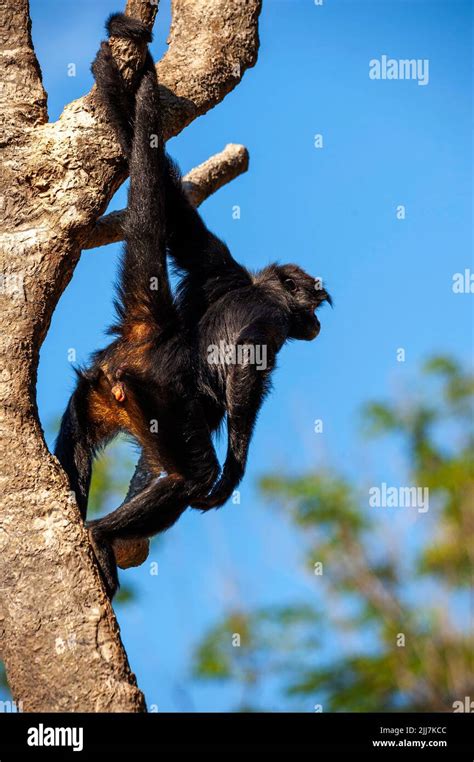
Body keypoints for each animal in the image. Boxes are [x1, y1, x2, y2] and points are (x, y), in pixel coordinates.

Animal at [54, 13, 332, 598]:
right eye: (315, 305)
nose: (317, 322)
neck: (256, 284)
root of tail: (155, 336)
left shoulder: (214, 259)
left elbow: (170, 199)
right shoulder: (269, 317)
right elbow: (246, 371)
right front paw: (233, 472)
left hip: (98, 390)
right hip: (154, 394)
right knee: (192, 474)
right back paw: (102, 533)